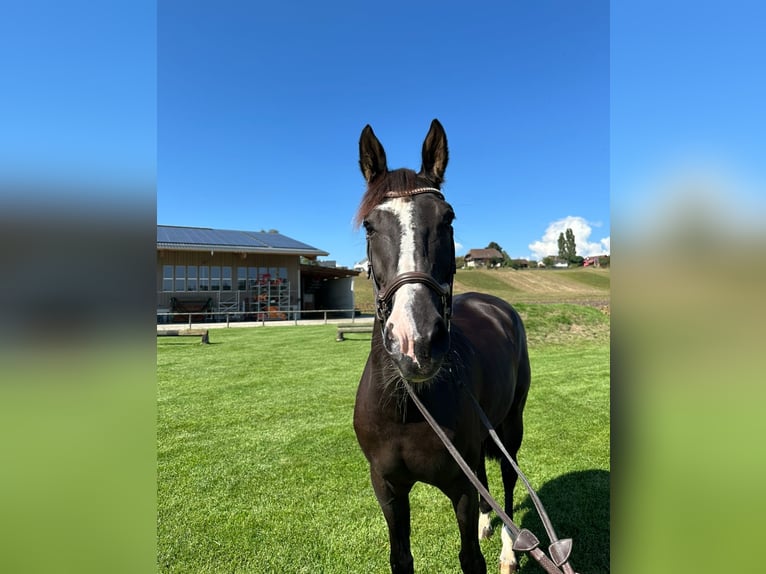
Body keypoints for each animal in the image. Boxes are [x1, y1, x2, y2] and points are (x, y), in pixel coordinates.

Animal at [356, 119, 532, 572]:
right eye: (369, 226)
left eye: (448, 218)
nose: (415, 341)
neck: (407, 408)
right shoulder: (388, 488)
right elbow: (401, 558)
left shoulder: (461, 489)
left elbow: (470, 558)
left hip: (511, 425)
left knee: (508, 478)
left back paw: (510, 549)